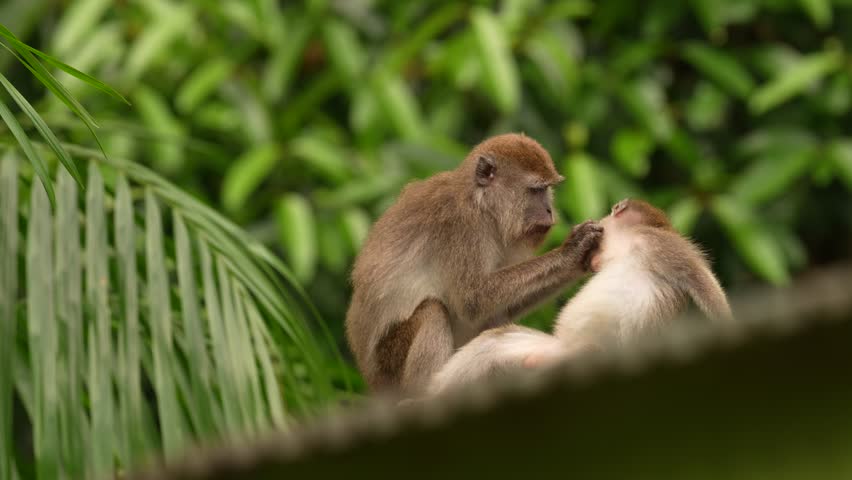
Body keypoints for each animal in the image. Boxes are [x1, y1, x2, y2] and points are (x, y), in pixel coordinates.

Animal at [345, 133, 603, 395]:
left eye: (547, 189)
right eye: (536, 190)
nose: (550, 210)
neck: (481, 204)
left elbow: (497, 308)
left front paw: (580, 261)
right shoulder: (462, 226)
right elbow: (473, 299)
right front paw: (571, 251)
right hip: (391, 367)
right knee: (432, 310)